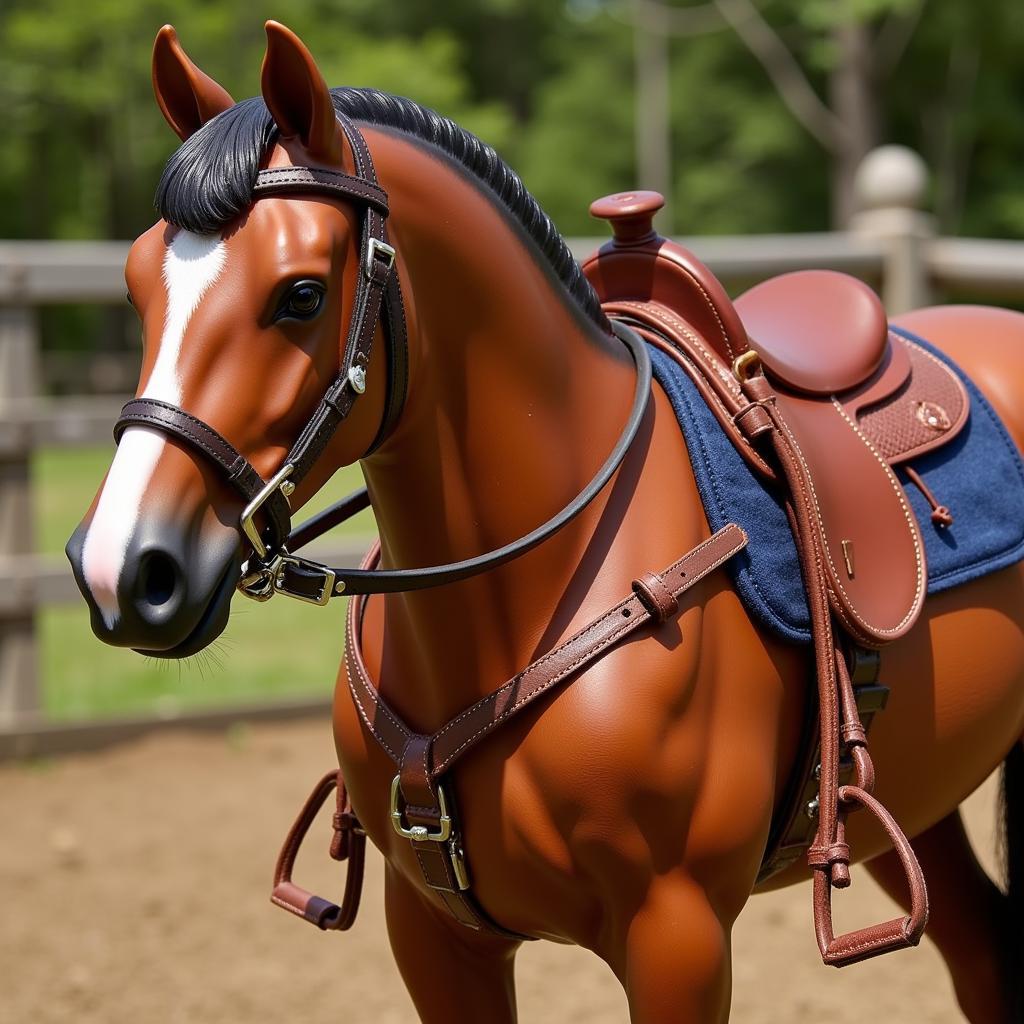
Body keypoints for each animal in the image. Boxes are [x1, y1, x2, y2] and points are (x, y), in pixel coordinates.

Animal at [66, 24, 1024, 1024]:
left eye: (300, 294)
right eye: (134, 289)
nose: (121, 569)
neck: (527, 599)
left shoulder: (676, 935)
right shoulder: (434, 931)